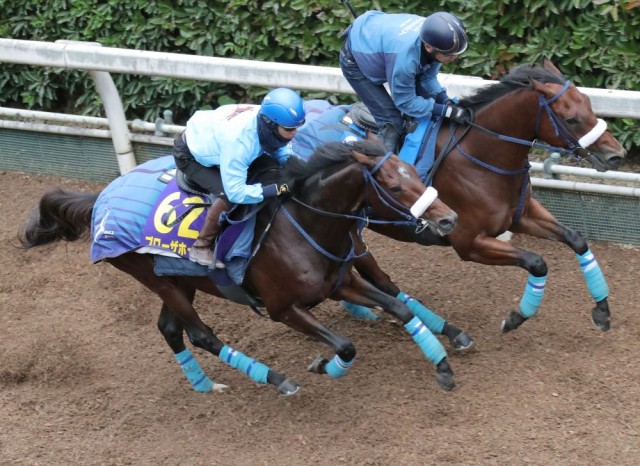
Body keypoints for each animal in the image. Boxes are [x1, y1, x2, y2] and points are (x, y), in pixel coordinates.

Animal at [20, 140, 460, 396]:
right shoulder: (283, 308)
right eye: (397, 187)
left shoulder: (339, 282)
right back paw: (276, 379)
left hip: (176, 279)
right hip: (155, 278)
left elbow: (397, 305)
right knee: (201, 334)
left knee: (170, 329)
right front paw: (323, 364)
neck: (304, 225)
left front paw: (442, 365)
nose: (449, 220)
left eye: (416, 173)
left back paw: (203, 384)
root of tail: (100, 199)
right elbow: (345, 345)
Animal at [350, 58, 624, 334]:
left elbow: (576, 239)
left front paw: (602, 310)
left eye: (589, 103)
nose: (616, 155)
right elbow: (536, 261)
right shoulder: (469, 243)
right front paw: (515, 317)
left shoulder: (521, 215)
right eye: (572, 119)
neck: (479, 159)